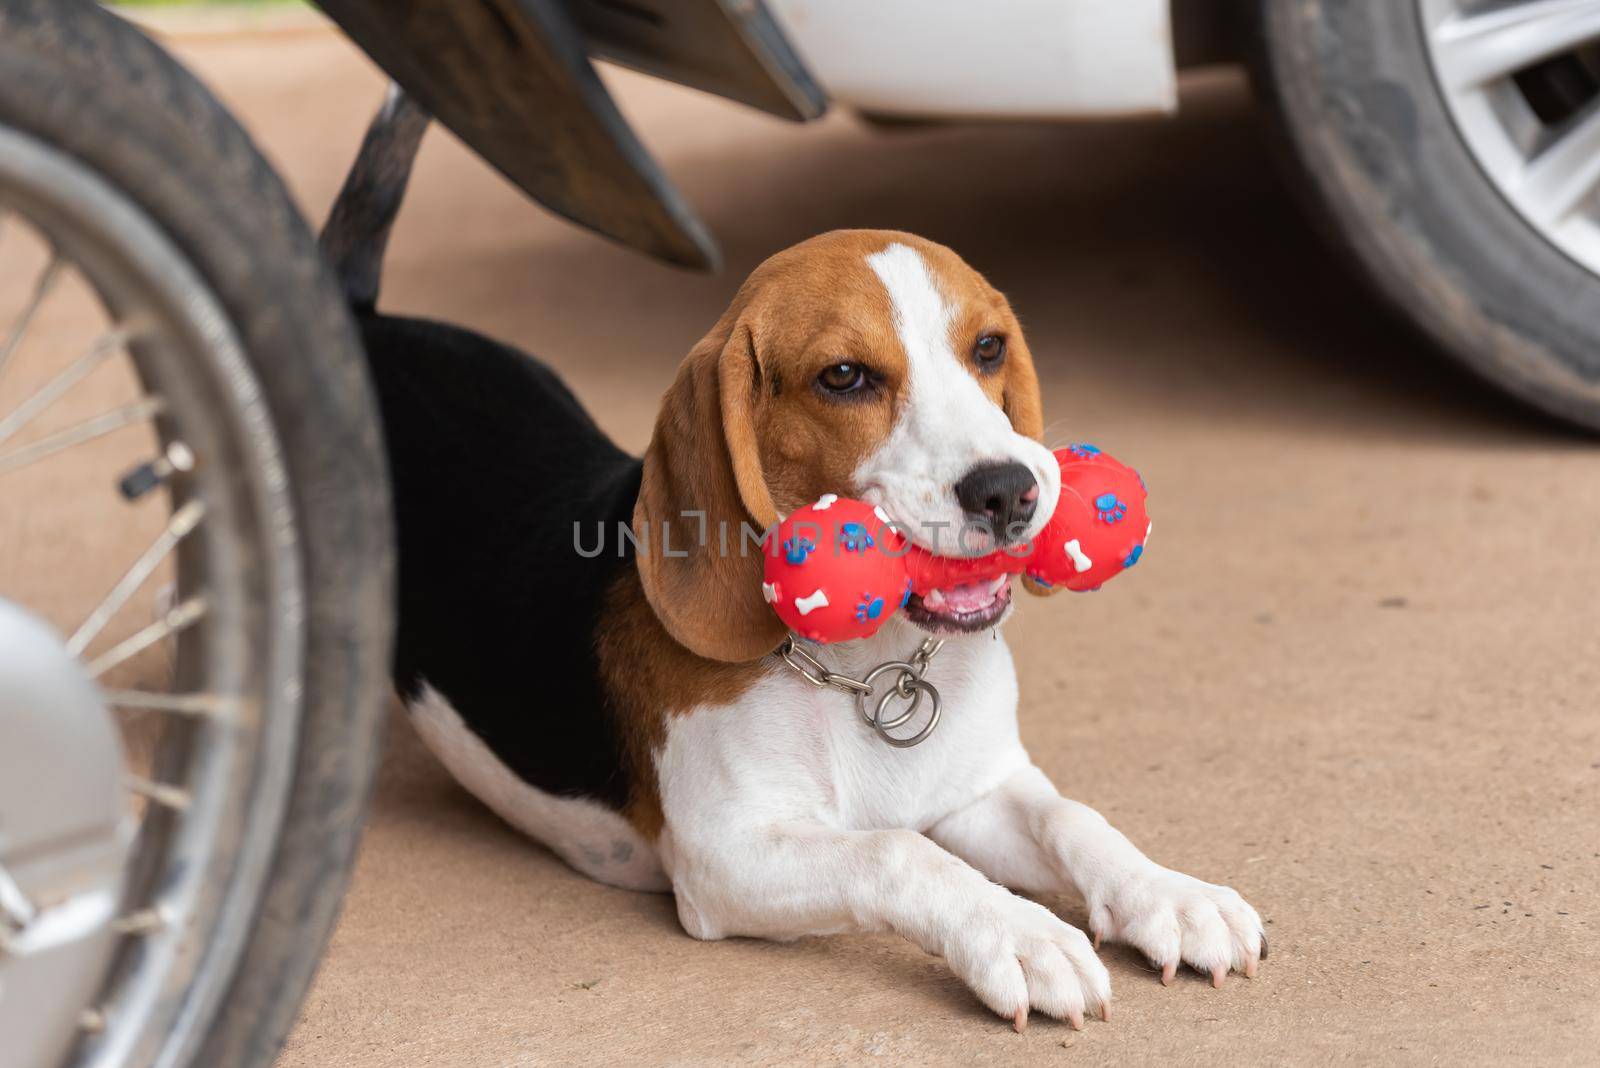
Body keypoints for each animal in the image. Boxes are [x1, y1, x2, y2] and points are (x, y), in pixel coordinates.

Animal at [356, 227, 1267, 1036]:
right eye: (844, 377)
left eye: (987, 348)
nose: (1008, 489)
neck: (868, 666)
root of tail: (364, 317)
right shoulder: (725, 857)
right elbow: (898, 851)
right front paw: (1022, 934)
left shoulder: (974, 791)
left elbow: (1072, 819)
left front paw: (1172, 894)